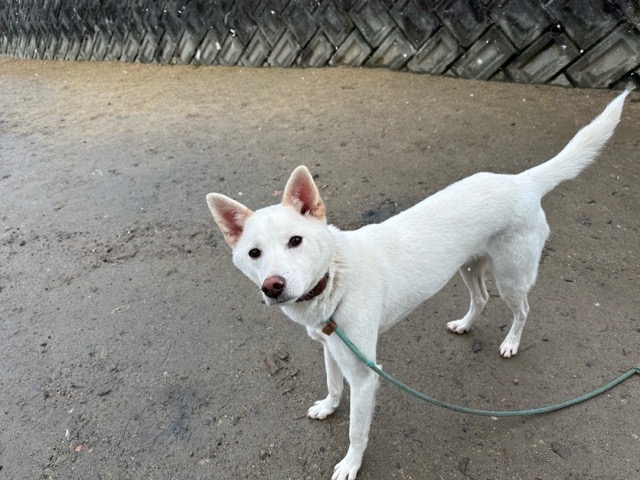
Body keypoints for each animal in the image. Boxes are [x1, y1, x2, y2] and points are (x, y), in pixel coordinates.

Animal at [206, 90, 629, 480]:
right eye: (254, 253)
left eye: (295, 241)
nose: (273, 286)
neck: (335, 279)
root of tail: (522, 181)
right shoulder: (330, 347)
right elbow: (332, 384)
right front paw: (327, 407)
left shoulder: (365, 375)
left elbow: (356, 430)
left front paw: (350, 464)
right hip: (468, 267)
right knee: (481, 298)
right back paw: (466, 325)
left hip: (512, 274)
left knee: (522, 309)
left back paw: (510, 343)